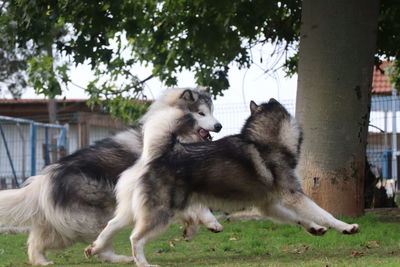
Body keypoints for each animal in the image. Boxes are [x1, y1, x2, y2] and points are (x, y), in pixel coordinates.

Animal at [0, 87, 223, 266]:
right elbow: (199, 208)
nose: (219, 126)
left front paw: (192, 230)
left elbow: (193, 212)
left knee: (37, 240)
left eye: (212, 111)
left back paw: (41, 260)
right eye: (201, 113)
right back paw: (118, 257)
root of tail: (45, 177)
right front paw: (211, 223)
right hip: (94, 217)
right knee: (102, 242)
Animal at [86, 98, 360, 267]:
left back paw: (95, 248)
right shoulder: (293, 195)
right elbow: (324, 213)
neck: (265, 142)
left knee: (111, 226)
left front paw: (314, 228)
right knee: (136, 238)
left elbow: (299, 219)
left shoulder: (269, 205)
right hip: (160, 214)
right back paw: (142, 262)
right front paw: (346, 227)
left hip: (136, 210)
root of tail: (159, 154)